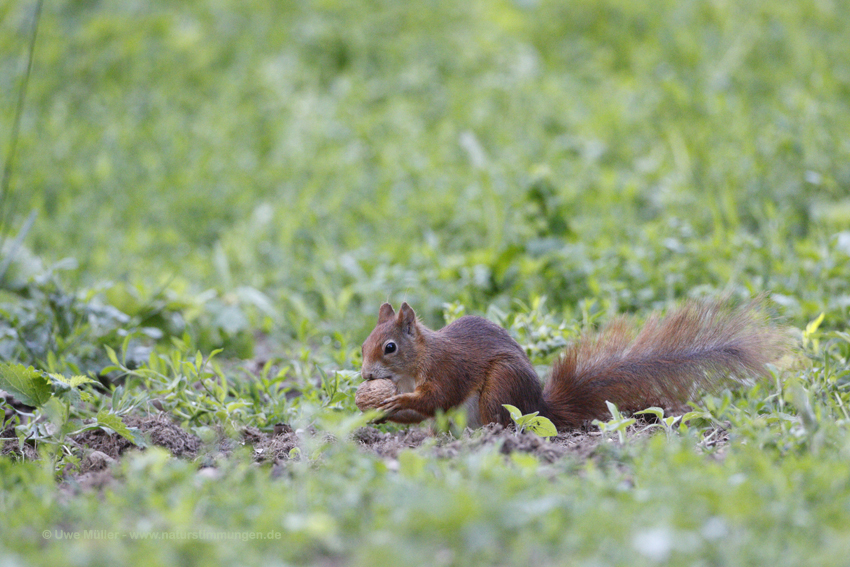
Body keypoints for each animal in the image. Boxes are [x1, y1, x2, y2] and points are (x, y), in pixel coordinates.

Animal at [356, 300, 780, 428]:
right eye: (363, 345)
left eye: (389, 347)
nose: (364, 375)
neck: (413, 367)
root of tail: (539, 407)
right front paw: (377, 411)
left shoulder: (447, 369)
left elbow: (437, 398)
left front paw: (390, 401)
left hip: (500, 388)